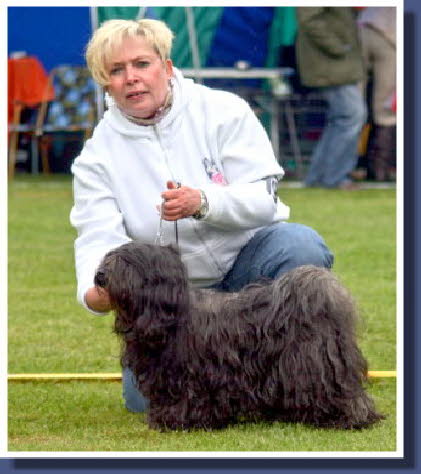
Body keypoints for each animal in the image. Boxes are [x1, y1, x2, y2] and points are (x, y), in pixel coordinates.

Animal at [94, 243, 380, 432]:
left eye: (126, 263)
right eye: (109, 258)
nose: (99, 276)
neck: (170, 318)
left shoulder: (188, 376)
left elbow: (184, 399)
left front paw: (176, 420)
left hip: (313, 366)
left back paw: (347, 418)